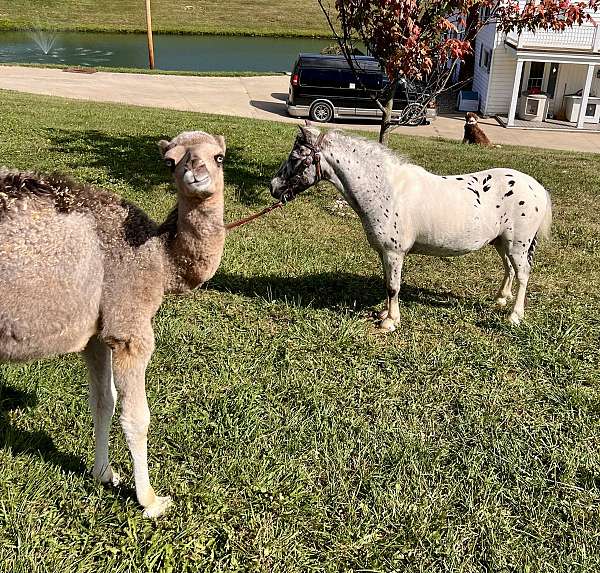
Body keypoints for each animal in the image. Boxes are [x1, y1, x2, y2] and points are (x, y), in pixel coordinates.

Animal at [0, 131, 227, 520]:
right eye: (170, 161)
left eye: (219, 157)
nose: (195, 170)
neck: (161, 260)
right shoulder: (128, 325)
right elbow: (136, 417)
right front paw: (150, 500)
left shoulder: (97, 332)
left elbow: (103, 401)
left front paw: (104, 473)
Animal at [270, 124, 552, 330]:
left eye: (296, 158)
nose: (274, 187)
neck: (387, 189)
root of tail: (536, 187)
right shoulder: (386, 254)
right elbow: (388, 284)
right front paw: (385, 313)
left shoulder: (395, 253)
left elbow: (393, 286)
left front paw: (390, 322)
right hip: (501, 243)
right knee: (509, 270)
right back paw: (500, 300)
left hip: (517, 246)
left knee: (523, 274)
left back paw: (514, 316)